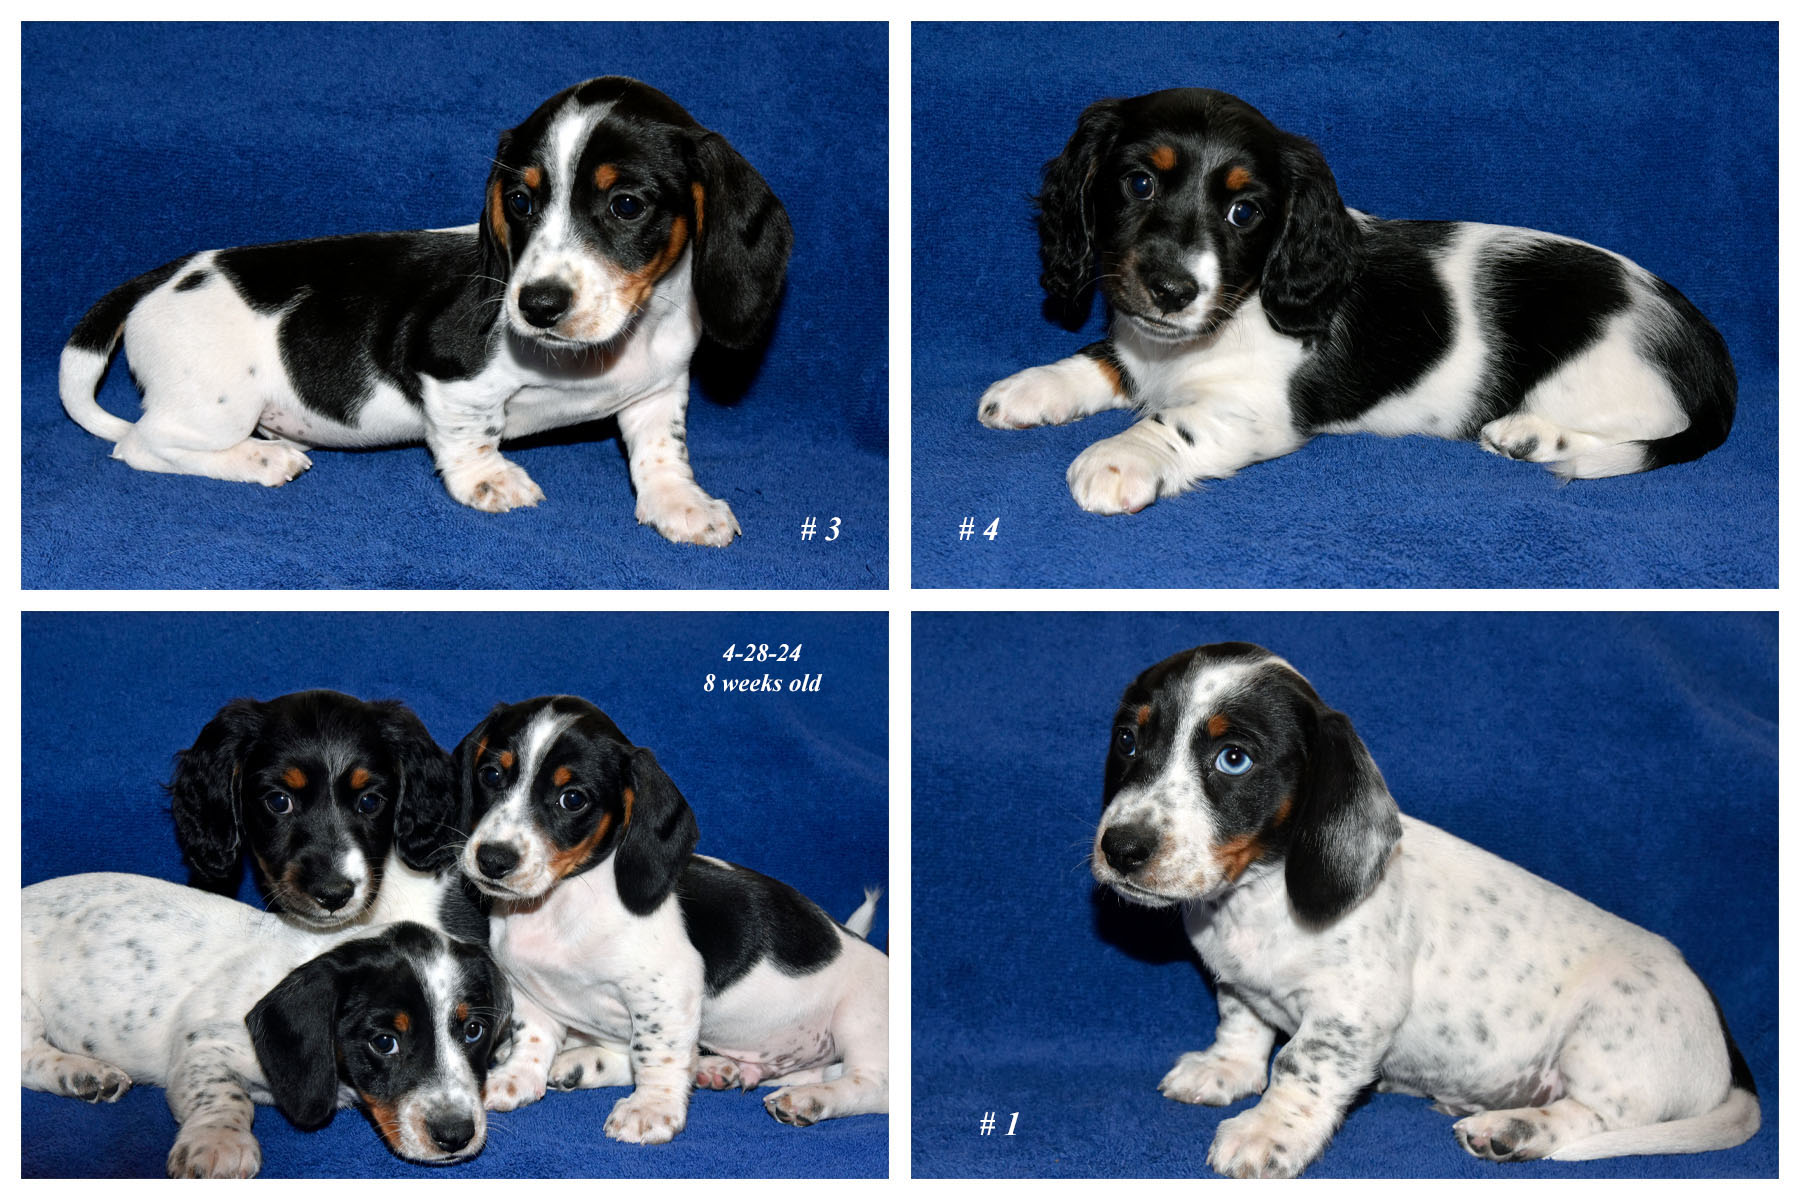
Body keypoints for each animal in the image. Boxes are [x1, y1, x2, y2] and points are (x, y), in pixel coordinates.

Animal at [22, 873, 510, 1177]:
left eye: (473, 1032)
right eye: (384, 1041)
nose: (456, 1136)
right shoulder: (203, 1047)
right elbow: (226, 1095)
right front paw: (219, 1141)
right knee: (28, 1056)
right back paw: (84, 1073)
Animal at [60, 76, 791, 546]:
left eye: (628, 205)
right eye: (520, 202)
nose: (535, 306)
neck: (614, 343)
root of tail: (169, 274)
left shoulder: (658, 392)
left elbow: (660, 451)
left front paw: (680, 504)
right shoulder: (448, 375)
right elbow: (471, 436)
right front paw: (489, 481)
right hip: (213, 407)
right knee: (142, 446)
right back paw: (257, 461)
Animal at [408, 695, 888, 1142]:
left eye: (572, 799)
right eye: (491, 774)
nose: (492, 860)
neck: (559, 908)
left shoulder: (666, 992)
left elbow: (656, 1053)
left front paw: (652, 1108)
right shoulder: (529, 990)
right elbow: (533, 1038)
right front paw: (514, 1078)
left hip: (857, 1020)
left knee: (870, 1085)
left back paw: (810, 1099)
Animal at [980, 89, 1735, 514]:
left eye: (1246, 212)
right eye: (1138, 184)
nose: (1172, 291)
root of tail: (1701, 339)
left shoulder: (1253, 411)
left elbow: (1173, 422)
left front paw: (1119, 460)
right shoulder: (1139, 344)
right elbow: (1103, 358)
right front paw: (1032, 387)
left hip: (1597, 383)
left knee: (1639, 432)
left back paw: (1529, 435)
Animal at [1090, 642, 1759, 1177]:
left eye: (1234, 758)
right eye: (1128, 740)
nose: (1120, 849)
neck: (1259, 895)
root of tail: (1726, 1053)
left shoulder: (1351, 1011)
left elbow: (1300, 1064)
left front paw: (1267, 1132)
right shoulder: (1238, 983)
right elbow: (1241, 1022)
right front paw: (1224, 1071)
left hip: (1606, 1038)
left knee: (1599, 1116)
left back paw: (1513, 1129)